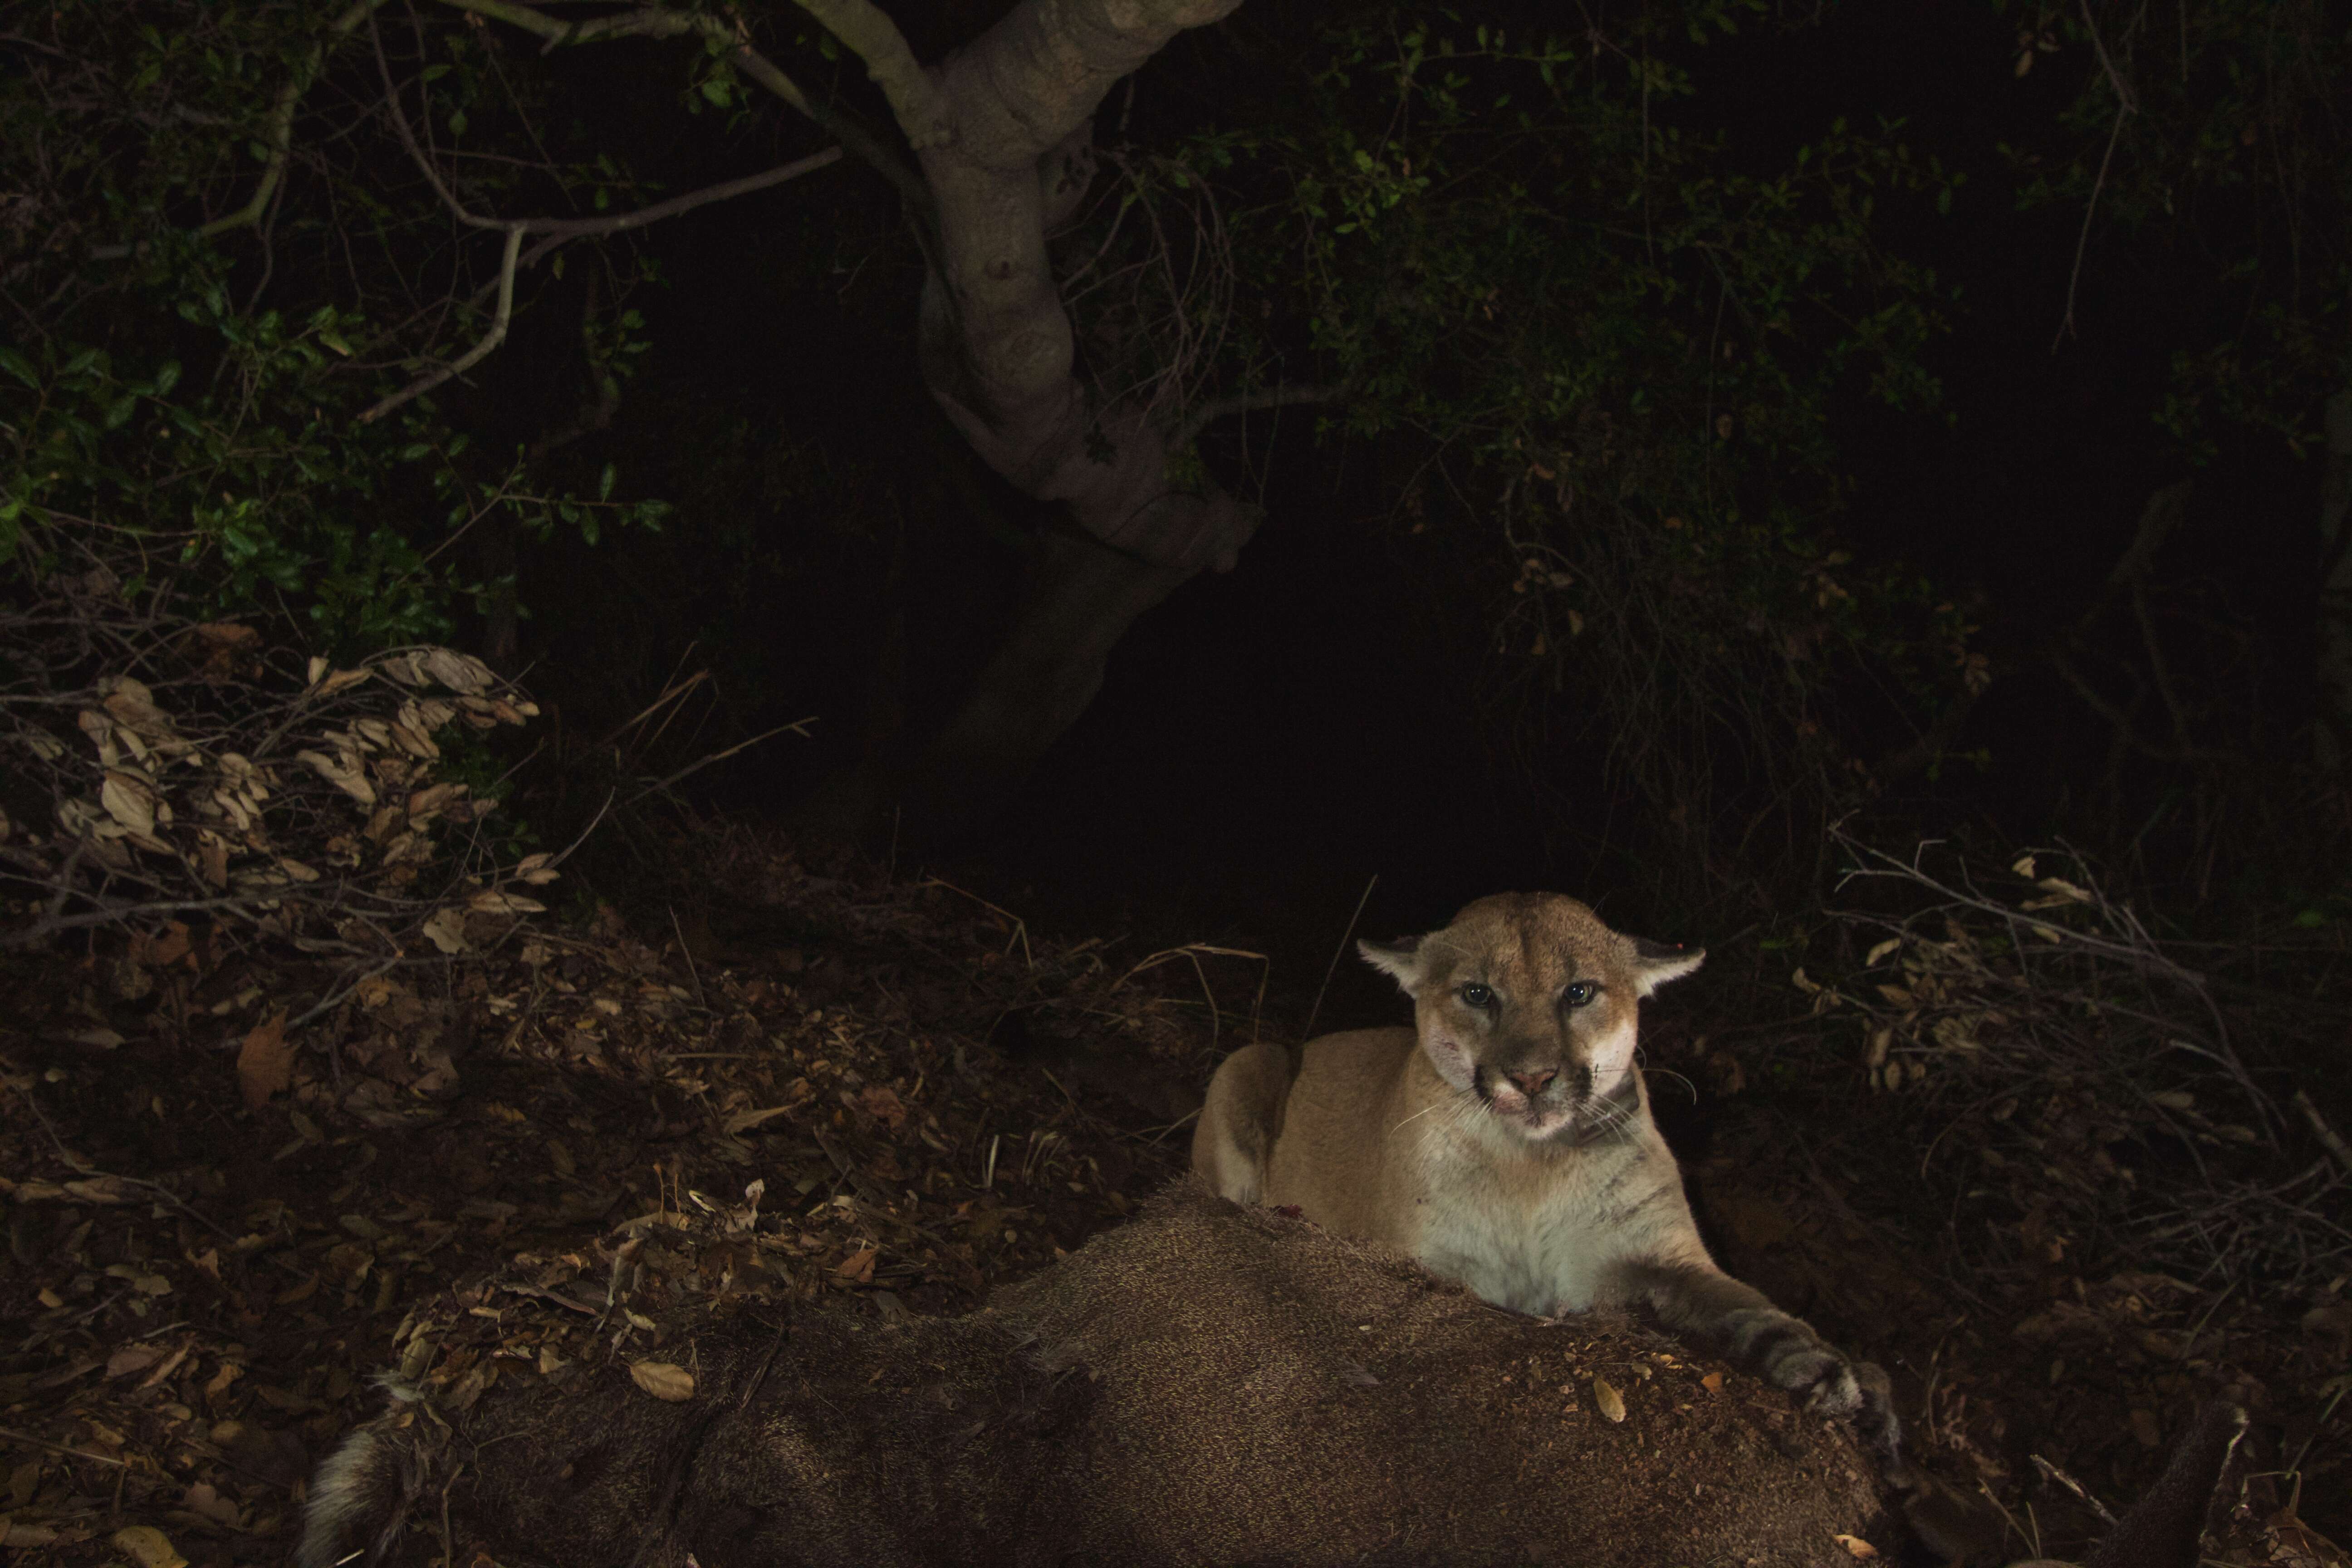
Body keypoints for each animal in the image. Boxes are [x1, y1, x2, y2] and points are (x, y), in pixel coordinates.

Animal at [1204, 888, 1900, 1457]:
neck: (1529, 1165)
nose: (1534, 1078)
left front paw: (1836, 1376)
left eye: (1579, 992)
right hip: (1247, 1062)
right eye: (1478, 994)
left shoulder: (1660, 1253)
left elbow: (1748, 1306)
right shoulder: (1433, 1263)